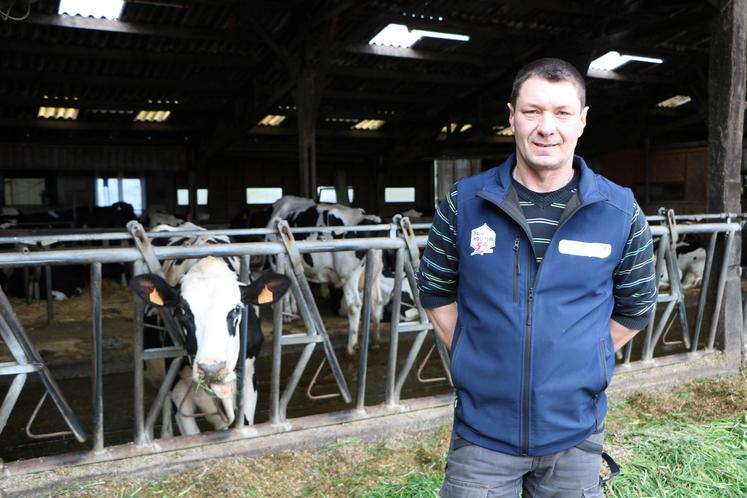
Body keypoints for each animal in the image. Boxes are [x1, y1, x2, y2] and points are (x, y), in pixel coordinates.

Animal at [266, 196, 386, 356]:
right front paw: (292, 311)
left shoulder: (276, 260)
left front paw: (286, 315)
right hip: (375, 273)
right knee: (377, 301)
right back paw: (376, 341)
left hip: (349, 274)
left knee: (354, 305)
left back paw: (351, 347)